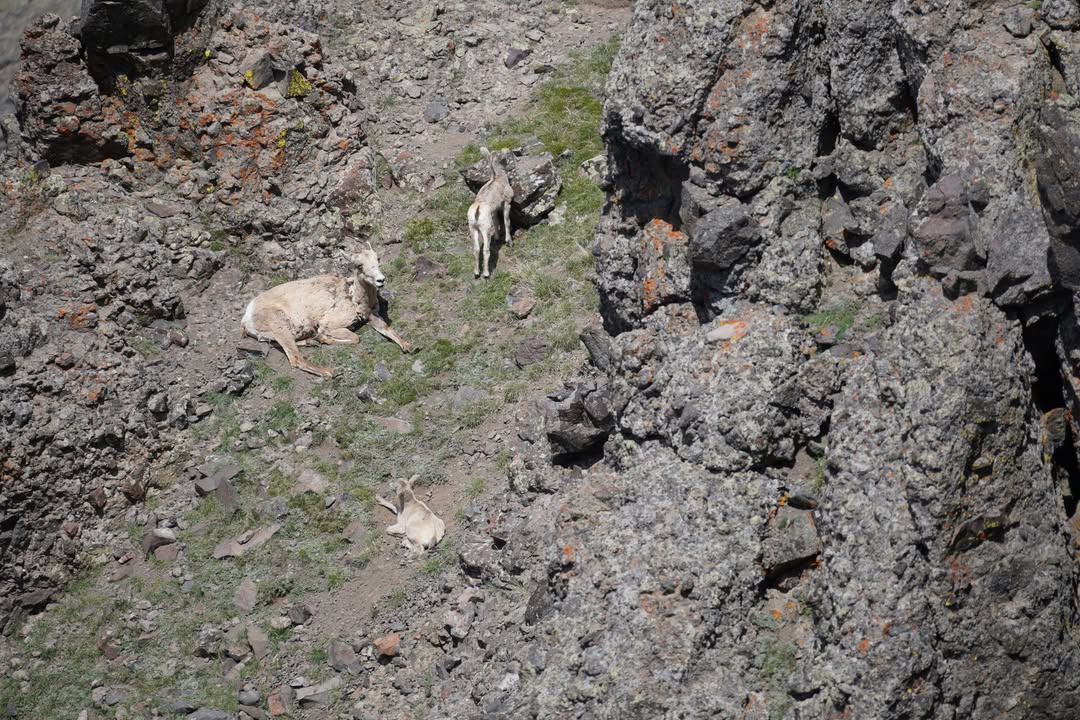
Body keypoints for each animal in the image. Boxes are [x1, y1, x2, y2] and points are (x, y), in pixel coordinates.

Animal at [240, 242, 411, 378]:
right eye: (359, 265)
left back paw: (313, 341)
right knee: (296, 359)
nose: (380, 280)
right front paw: (324, 338)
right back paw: (329, 371)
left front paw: (408, 346)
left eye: (377, 259)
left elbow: (387, 328)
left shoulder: (372, 316)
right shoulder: (331, 325)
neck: (354, 297)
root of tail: (247, 318)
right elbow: (356, 338)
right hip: (280, 329)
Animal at [467, 147, 515, 279]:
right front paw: (509, 241)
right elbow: (506, 221)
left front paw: (498, 238)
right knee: (486, 250)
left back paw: (476, 273)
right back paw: (486, 274)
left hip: (473, 229)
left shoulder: (494, 211)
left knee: (476, 249)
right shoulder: (506, 204)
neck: (499, 177)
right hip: (485, 229)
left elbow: (497, 221)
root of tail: (477, 210)